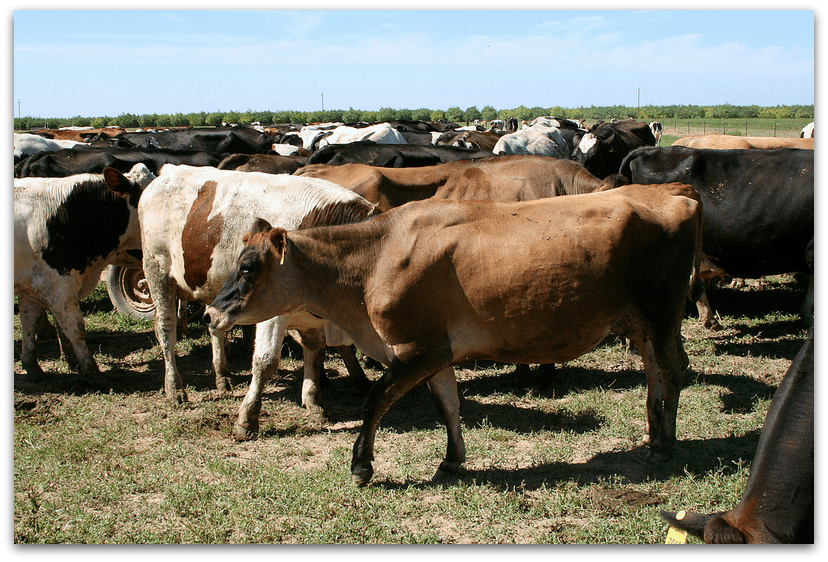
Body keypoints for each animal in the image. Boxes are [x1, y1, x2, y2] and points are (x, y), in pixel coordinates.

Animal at [14, 164, 156, 383]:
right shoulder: (58, 286)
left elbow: (30, 325)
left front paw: (33, 367)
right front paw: (91, 370)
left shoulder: (30, 287)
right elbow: (76, 329)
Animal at [138, 165, 379, 428]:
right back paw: (175, 388)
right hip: (157, 271)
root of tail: (169, 170)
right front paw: (247, 418)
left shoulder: (313, 315)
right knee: (165, 329)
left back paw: (222, 376)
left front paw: (314, 403)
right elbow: (265, 362)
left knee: (214, 328)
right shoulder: (273, 313)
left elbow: (315, 353)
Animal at [204, 183, 703, 486]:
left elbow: (375, 400)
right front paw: (451, 460)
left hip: (662, 312)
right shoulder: (436, 351)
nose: (210, 314)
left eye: (249, 267)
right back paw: (654, 435)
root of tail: (671, 190)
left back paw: (664, 445)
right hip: (639, 322)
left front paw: (361, 465)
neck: (375, 257)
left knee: (675, 368)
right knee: (656, 374)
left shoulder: (416, 349)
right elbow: (448, 404)